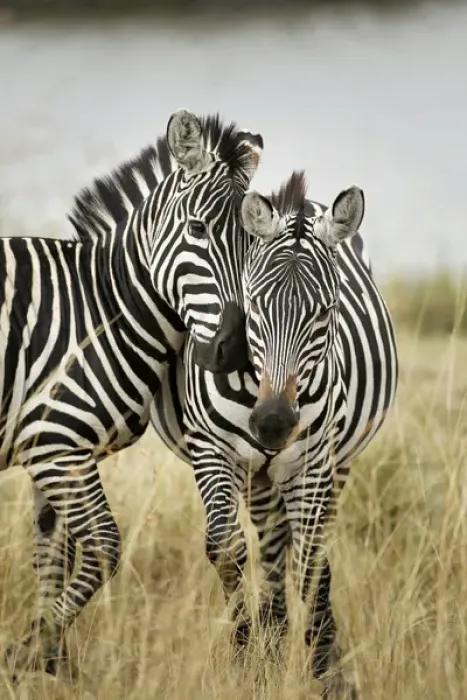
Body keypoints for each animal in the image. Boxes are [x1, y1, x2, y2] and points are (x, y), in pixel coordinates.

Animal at [1, 108, 264, 681]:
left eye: (255, 244)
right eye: (197, 229)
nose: (235, 352)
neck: (102, 307)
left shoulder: (52, 451)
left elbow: (52, 555)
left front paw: (47, 666)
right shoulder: (58, 447)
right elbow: (103, 547)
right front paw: (25, 655)